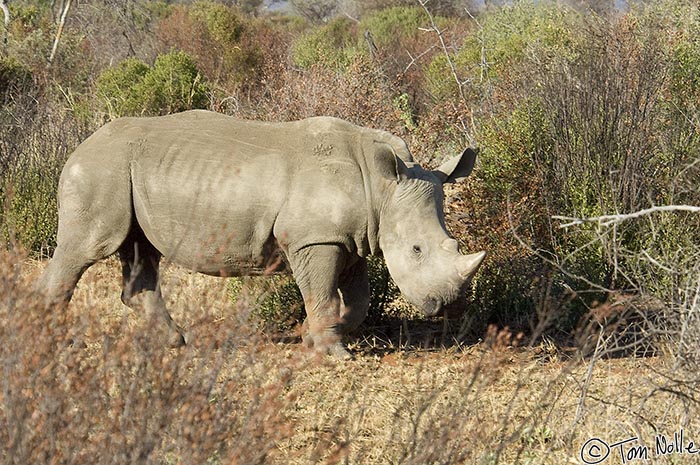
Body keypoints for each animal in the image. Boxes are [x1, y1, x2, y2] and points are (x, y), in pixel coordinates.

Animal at [35, 110, 486, 358]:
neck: (381, 187)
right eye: (416, 250)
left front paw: (313, 336)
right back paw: (49, 344)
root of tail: (79, 146)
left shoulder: (351, 237)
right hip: (99, 170)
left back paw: (176, 342)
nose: (445, 306)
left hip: (127, 174)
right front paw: (334, 353)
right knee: (84, 249)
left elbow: (357, 300)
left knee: (140, 250)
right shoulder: (315, 238)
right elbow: (323, 293)